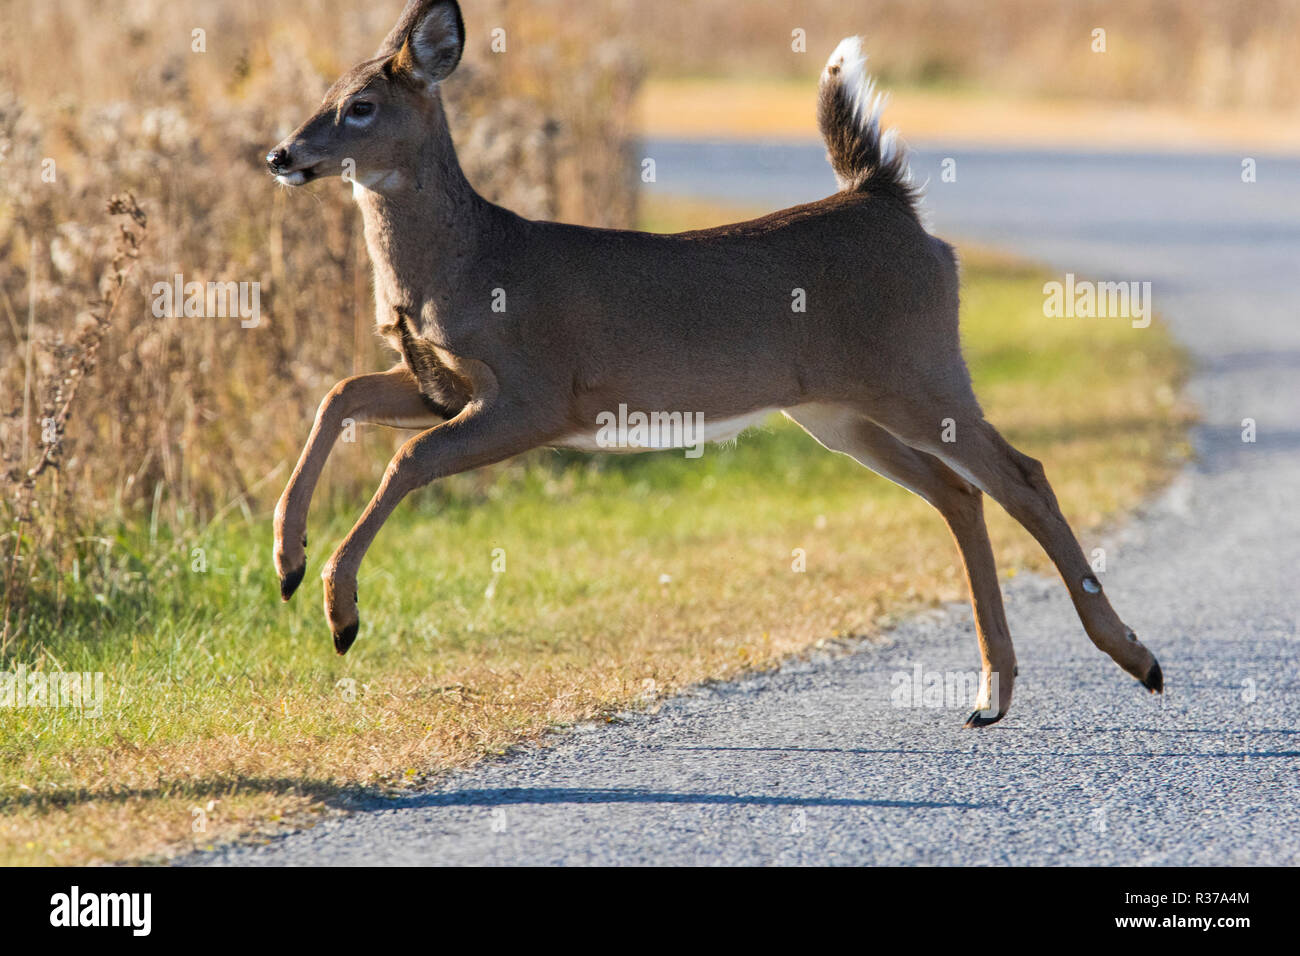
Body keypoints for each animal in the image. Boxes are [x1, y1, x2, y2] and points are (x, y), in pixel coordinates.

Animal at [266, 0, 1170, 723]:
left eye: (360, 106)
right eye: (320, 95)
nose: (281, 154)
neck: (462, 264)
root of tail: (890, 203)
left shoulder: (537, 393)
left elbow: (409, 458)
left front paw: (340, 612)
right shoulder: (439, 386)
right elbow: (340, 393)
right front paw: (288, 560)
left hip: (919, 368)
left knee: (1022, 474)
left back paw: (1136, 659)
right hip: (838, 410)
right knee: (959, 492)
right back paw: (991, 696)